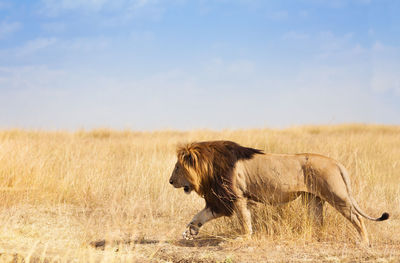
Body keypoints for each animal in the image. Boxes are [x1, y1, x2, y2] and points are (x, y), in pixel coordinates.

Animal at [169, 141, 388, 246]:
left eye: (177, 167)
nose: (170, 181)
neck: (209, 166)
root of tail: (336, 162)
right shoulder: (220, 199)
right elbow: (200, 215)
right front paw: (190, 231)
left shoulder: (236, 196)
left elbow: (244, 220)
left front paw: (244, 238)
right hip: (313, 200)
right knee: (319, 221)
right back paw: (313, 238)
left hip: (337, 195)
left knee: (357, 218)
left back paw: (364, 242)